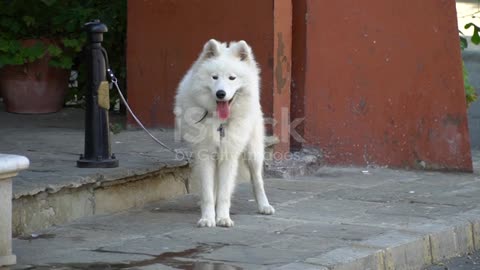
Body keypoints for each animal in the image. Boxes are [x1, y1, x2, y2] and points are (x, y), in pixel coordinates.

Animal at [174, 38, 276, 228]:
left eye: (232, 78)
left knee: (257, 180)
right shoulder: (205, 154)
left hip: (253, 152)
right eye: (214, 77)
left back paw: (264, 206)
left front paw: (222, 218)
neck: (219, 122)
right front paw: (208, 218)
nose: (220, 93)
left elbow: (224, 193)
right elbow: (208, 192)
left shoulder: (229, 155)